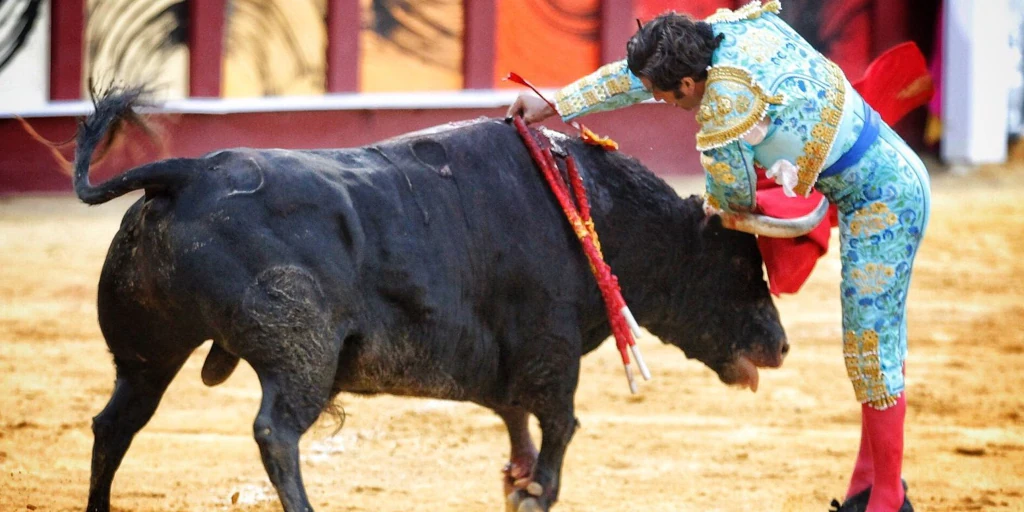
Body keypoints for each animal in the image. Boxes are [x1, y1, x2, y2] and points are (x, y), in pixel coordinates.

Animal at [79, 90, 798, 512]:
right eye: (740, 267)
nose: (781, 345)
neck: (598, 210)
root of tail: (188, 172)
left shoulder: (513, 371)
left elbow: (518, 433)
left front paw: (516, 485)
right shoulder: (553, 354)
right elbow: (558, 432)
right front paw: (537, 493)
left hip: (146, 353)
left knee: (116, 423)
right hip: (301, 356)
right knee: (275, 433)